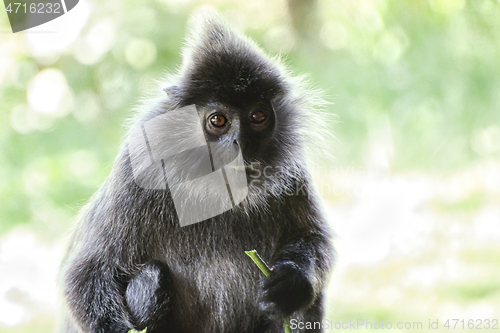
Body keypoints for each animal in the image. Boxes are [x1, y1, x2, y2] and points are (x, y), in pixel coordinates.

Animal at [60, 10, 336, 332]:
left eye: (258, 116)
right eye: (218, 120)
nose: (239, 143)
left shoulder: (294, 175)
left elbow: (314, 239)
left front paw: (293, 281)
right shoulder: (138, 169)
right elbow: (88, 272)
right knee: (151, 275)